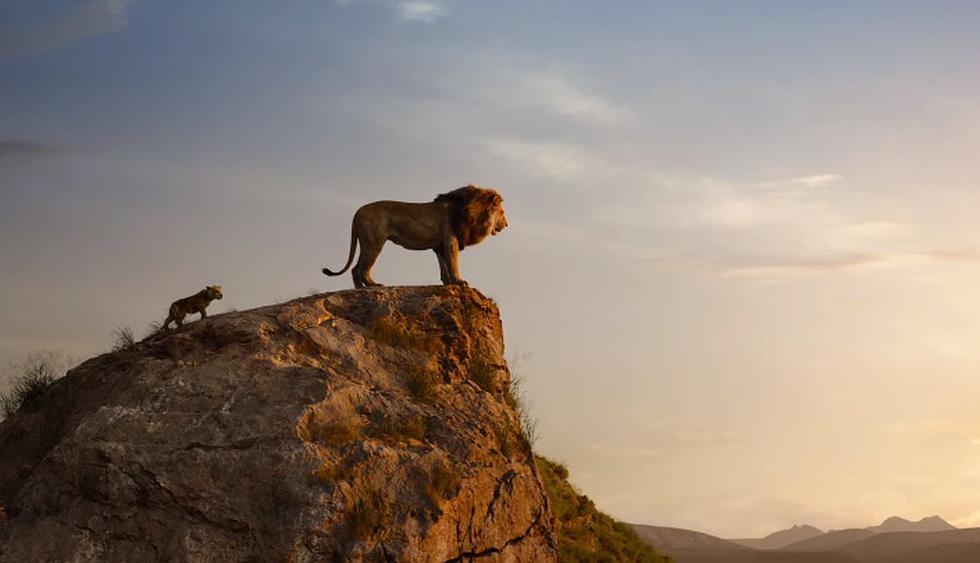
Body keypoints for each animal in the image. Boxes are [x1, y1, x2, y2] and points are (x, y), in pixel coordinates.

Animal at [322, 185, 508, 288]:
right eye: (502, 212)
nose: (507, 225)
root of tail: (357, 212)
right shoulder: (450, 240)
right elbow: (453, 263)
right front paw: (459, 282)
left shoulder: (440, 245)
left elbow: (444, 265)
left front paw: (448, 283)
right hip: (375, 242)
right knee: (362, 269)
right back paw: (374, 286)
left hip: (366, 242)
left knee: (355, 269)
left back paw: (360, 290)